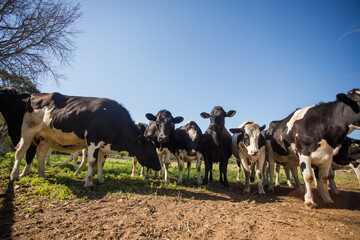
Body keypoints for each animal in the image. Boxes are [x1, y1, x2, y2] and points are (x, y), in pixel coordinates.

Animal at [6, 90, 162, 188]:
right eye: (151, 151)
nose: (159, 167)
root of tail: (34, 95)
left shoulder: (103, 146)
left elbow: (101, 163)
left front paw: (100, 179)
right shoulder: (93, 139)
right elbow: (92, 162)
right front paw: (88, 182)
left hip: (46, 137)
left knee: (41, 155)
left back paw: (42, 175)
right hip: (27, 131)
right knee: (20, 151)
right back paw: (14, 175)